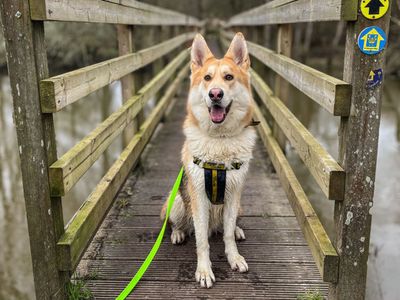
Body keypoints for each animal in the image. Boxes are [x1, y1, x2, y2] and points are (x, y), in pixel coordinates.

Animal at [160, 32, 256, 288]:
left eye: (229, 77)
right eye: (207, 78)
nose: (215, 94)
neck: (219, 140)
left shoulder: (233, 194)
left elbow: (228, 234)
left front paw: (234, 257)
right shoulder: (199, 199)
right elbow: (202, 240)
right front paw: (204, 270)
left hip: (239, 205)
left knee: (226, 228)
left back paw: (237, 230)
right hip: (177, 202)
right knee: (179, 223)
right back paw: (178, 232)